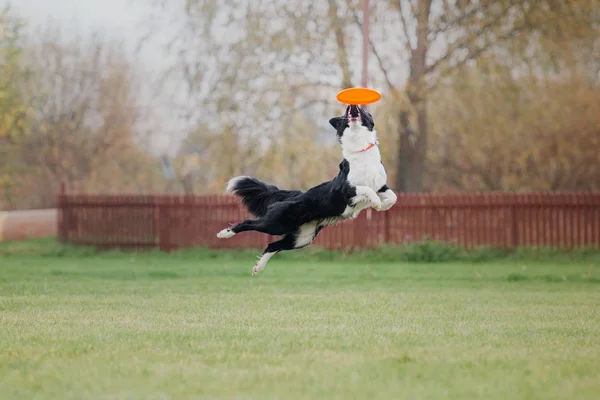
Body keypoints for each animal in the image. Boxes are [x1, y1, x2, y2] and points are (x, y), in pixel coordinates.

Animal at [218, 104, 396, 276]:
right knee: (249, 223)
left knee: (272, 245)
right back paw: (225, 233)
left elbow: (392, 197)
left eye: (363, 109)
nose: (351, 105)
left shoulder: (380, 185)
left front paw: (383, 205)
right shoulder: (347, 189)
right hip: (277, 223)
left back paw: (258, 268)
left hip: (302, 237)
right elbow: (366, 189)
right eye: (344, 113)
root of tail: (296, 195)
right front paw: (376, 203)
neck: (361, 150)